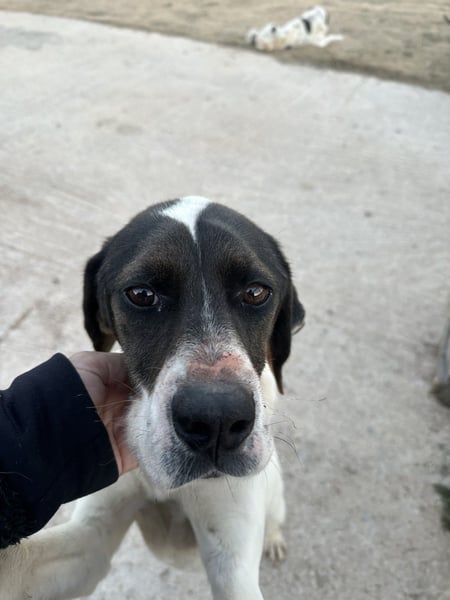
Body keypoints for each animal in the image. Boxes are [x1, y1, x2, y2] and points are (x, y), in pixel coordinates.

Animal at [0, 197, 304, 600]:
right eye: (142, 294)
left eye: (256, 292)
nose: (217, 420)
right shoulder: (90, 542)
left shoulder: (232, 565)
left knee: (275, 517)